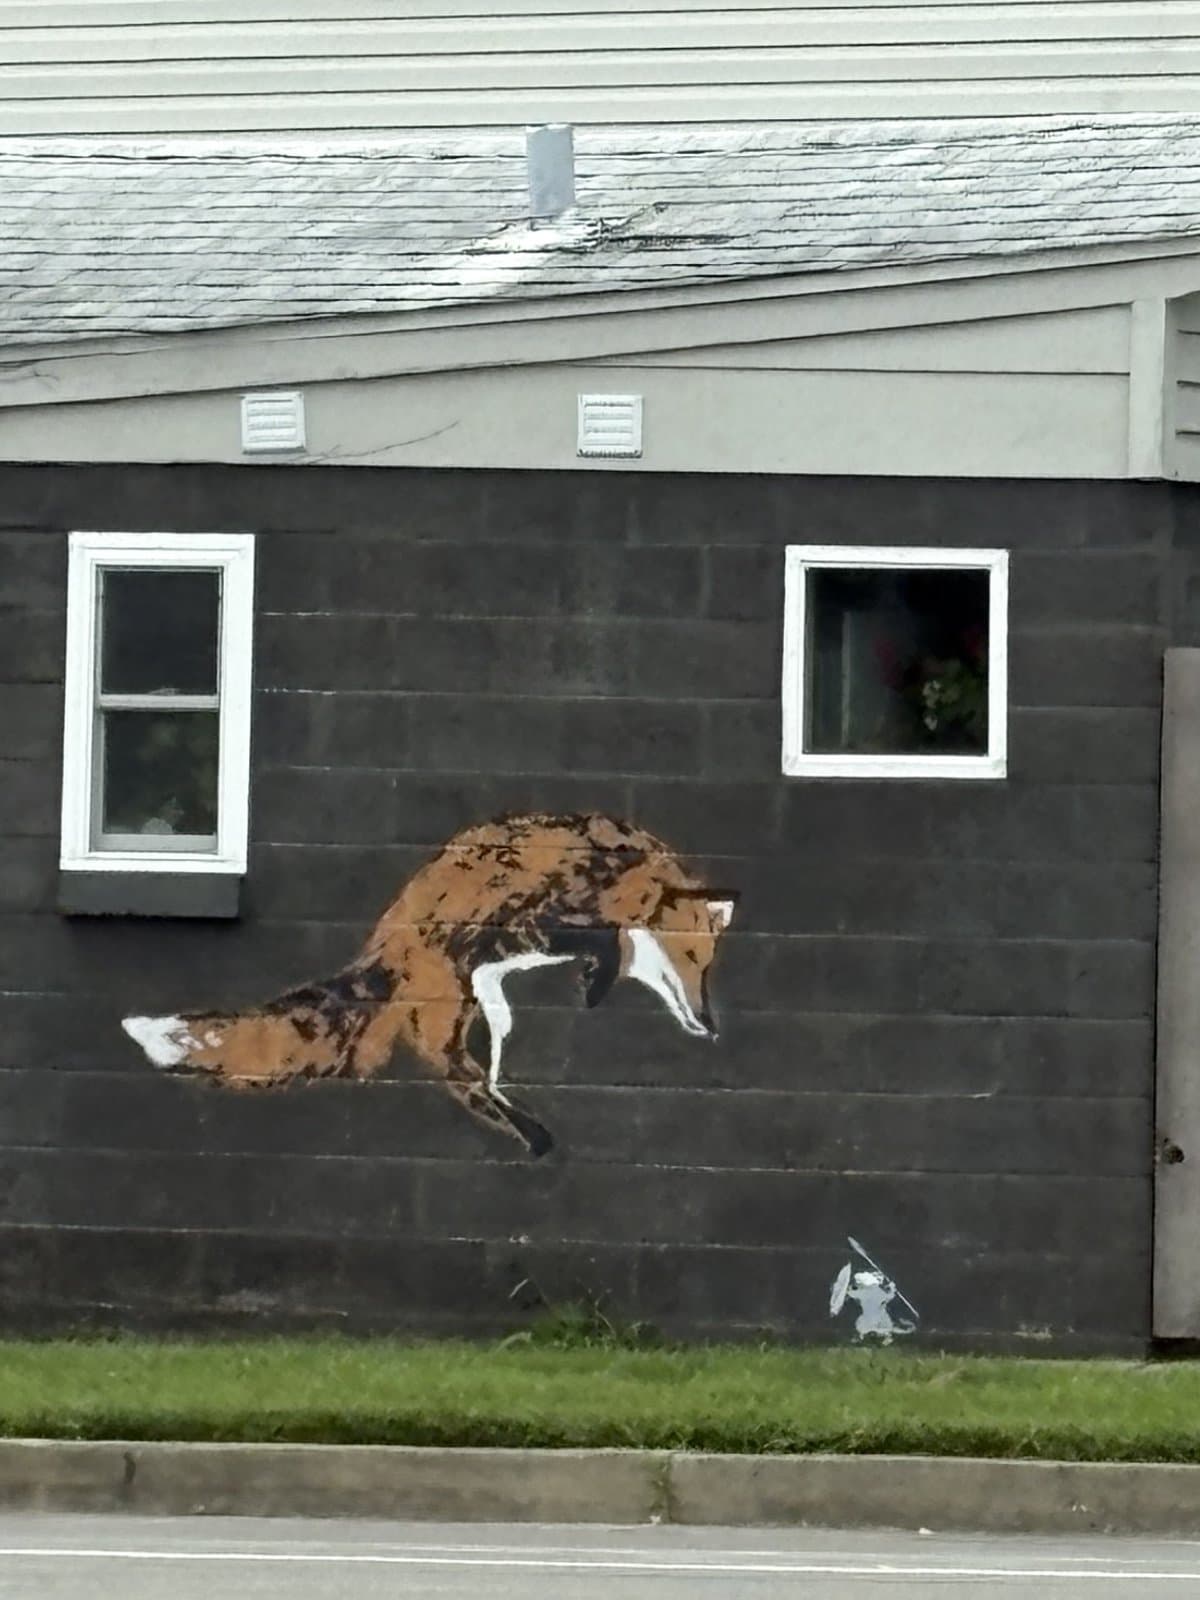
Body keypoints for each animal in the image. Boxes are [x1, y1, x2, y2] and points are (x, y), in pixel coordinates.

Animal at [122, 811, 736, 1158]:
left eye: (708, 966)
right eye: (687, 954)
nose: (710, 1025)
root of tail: (385, 941)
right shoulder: (536, 919)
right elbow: (602, 945)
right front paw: (595, 981)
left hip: (484, 1010)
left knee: (476, 1078)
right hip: (453, 1004)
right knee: (460, 1076)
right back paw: (533, 1136)